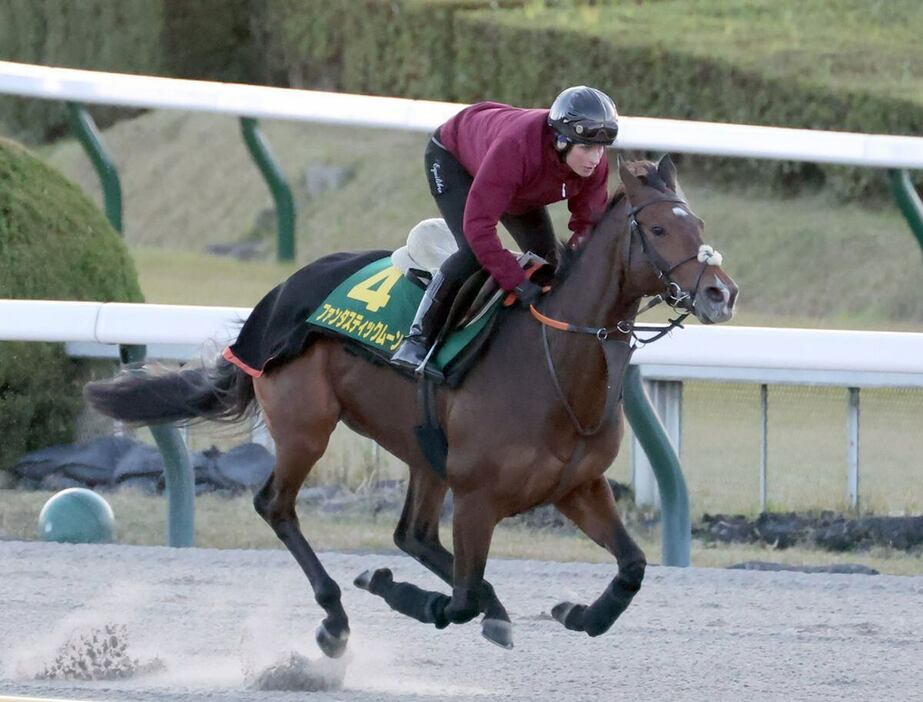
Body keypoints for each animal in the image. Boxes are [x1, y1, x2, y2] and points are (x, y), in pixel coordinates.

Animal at [83, 155, 740, 660]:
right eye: (658, 230)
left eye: (700, 223)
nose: (721, 293)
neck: (552, 358)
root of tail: (276, 297)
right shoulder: (478, 499)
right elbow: (461, 598)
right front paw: (402, 593)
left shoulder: (579, 486)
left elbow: (632, 566)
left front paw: (579, 613)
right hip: (306, 426)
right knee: (278, 506)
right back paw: (336, 617)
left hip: (423, 450)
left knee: (413, 535)